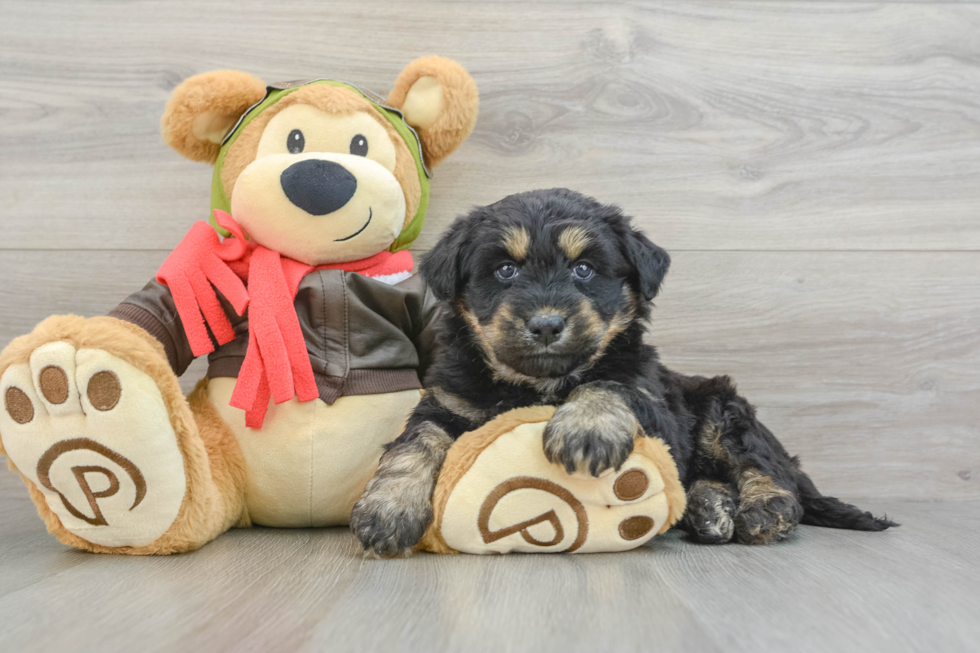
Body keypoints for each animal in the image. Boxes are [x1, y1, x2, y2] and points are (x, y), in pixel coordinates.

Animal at [352, 187, 896, 556]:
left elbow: (609, 381)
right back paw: (709, 510)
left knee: (764, 466)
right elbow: (413, 444)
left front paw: (585, 428)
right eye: (504, 270)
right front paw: (388, 509)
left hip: (723, 409)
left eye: (584, 269)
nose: (546, 324)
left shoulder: (650, 395)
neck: (540, 383)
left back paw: (763, 508)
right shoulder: (447, 401)